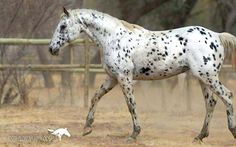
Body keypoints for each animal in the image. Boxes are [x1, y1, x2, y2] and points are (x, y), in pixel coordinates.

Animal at [48, 7, 236, 142]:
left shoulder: (124, 78)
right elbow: (95, 97)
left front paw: (134, 134)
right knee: (211, 103)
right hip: (202, 78)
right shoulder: (112, 78)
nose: (51, 49)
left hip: (208, 76)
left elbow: (131, 105)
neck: (113, 38)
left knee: (227, 96)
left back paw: (231, 131)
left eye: (63, 26)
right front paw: (87, 127)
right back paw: (200, 136)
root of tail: (217, 36)